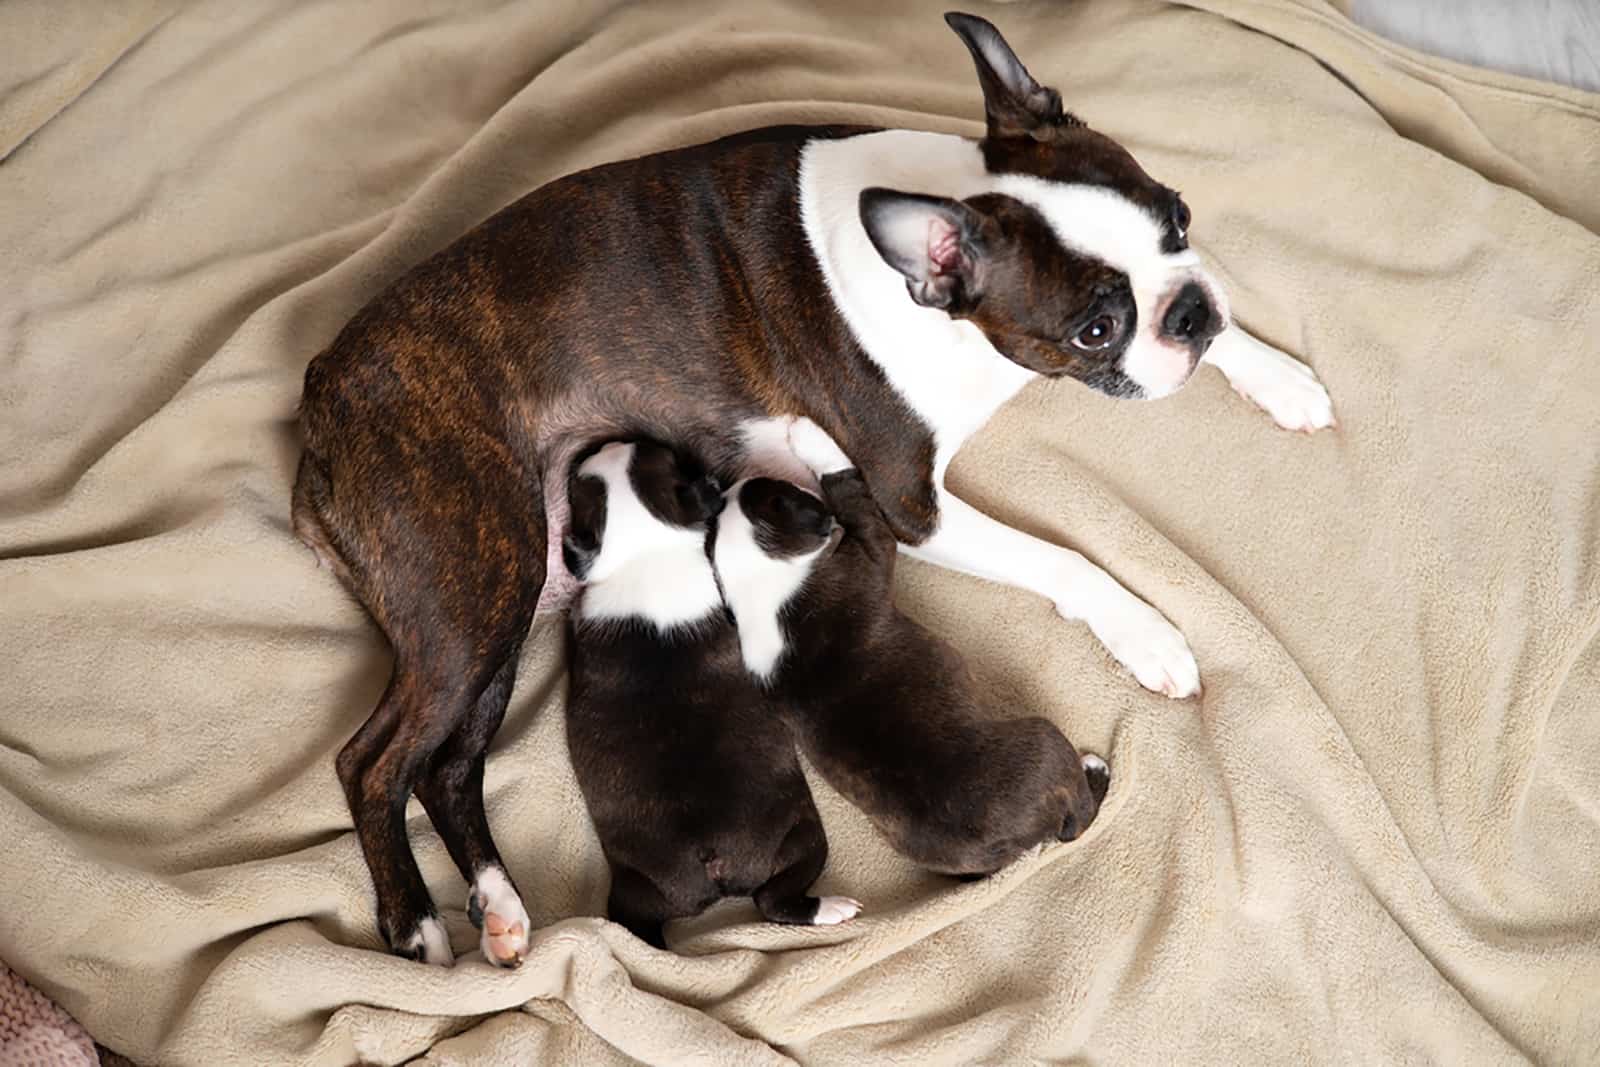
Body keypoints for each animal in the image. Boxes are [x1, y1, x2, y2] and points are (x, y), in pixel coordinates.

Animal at [563, 441, 864, 953]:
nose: (607, 441)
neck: (647, 554)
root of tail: (713, 862)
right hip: (805, 834)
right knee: (773, 899)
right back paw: (832, 908)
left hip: (638, 886)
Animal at [713, 422, 1113, 883]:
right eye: (781, 493)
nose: (735, 480)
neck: (757, 583)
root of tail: (1008, 841)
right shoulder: (872, 548)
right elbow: (851, 491)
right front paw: (813, 439)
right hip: (1045, 744)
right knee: (1078, 818)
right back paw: (1095, 772)